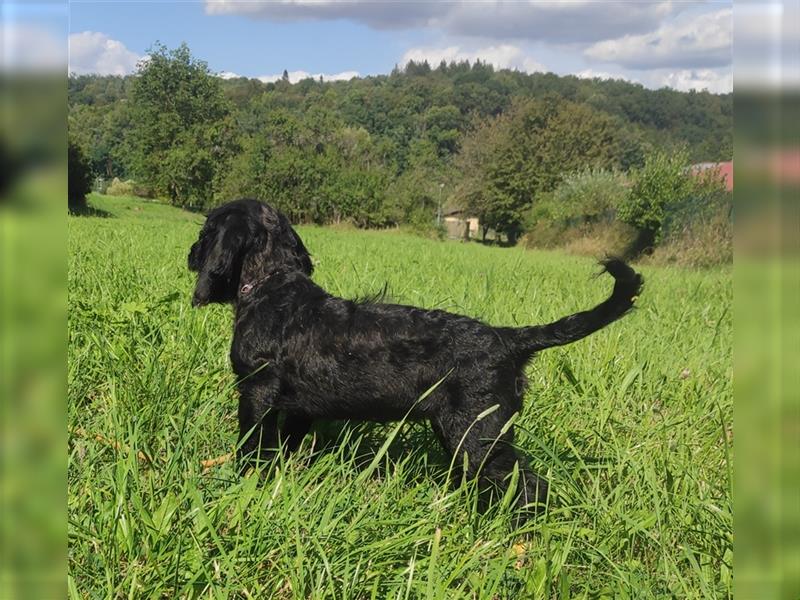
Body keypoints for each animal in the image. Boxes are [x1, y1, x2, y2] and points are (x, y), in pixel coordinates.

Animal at [189, 200, 644, 516]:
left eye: (207, 230)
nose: (192, 253)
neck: (273, 285)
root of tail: (506, 339)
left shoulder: (256, 392)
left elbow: (251, 446)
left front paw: (242, 481)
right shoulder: (299, 408)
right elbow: (285, 445)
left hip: (478, 432)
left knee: (527, 485)